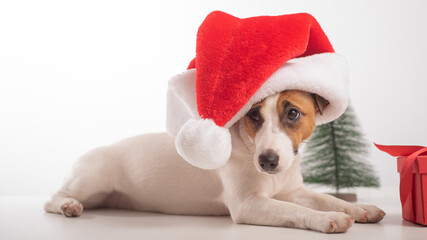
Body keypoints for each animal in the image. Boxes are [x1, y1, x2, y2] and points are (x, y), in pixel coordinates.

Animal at [45, 89, 386, 232]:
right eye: (253, 116)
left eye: (293, 113)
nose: (267, 162)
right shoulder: (249, 204)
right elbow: (294, 210)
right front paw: (325, 219)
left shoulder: (294, 190)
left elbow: (327, 198)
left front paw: (361, 209)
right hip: (91, 179)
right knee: (55, 196)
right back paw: (68, 205)